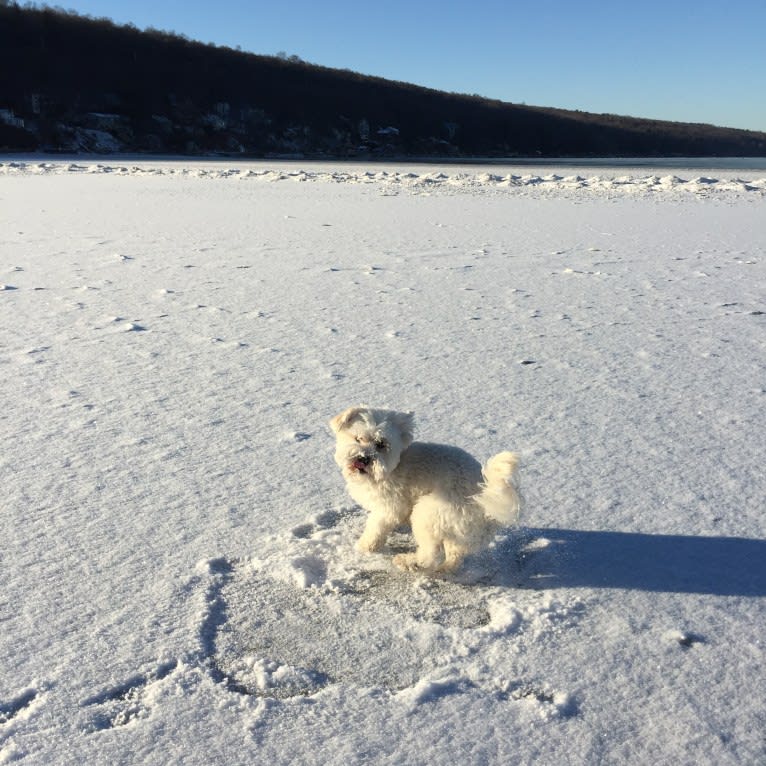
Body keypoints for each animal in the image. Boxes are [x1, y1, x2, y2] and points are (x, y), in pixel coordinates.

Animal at [330, 408, 520, 576]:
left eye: (381, 444)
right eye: (358, 438)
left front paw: (365, 546)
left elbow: (376, 527)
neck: (394, 467)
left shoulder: (390, 505)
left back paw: (407, 562)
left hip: (429, 513)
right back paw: (444, 569)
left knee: (430, 555)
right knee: (455, 556)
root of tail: (484, 498)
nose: (364, 458)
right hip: (458, 531)